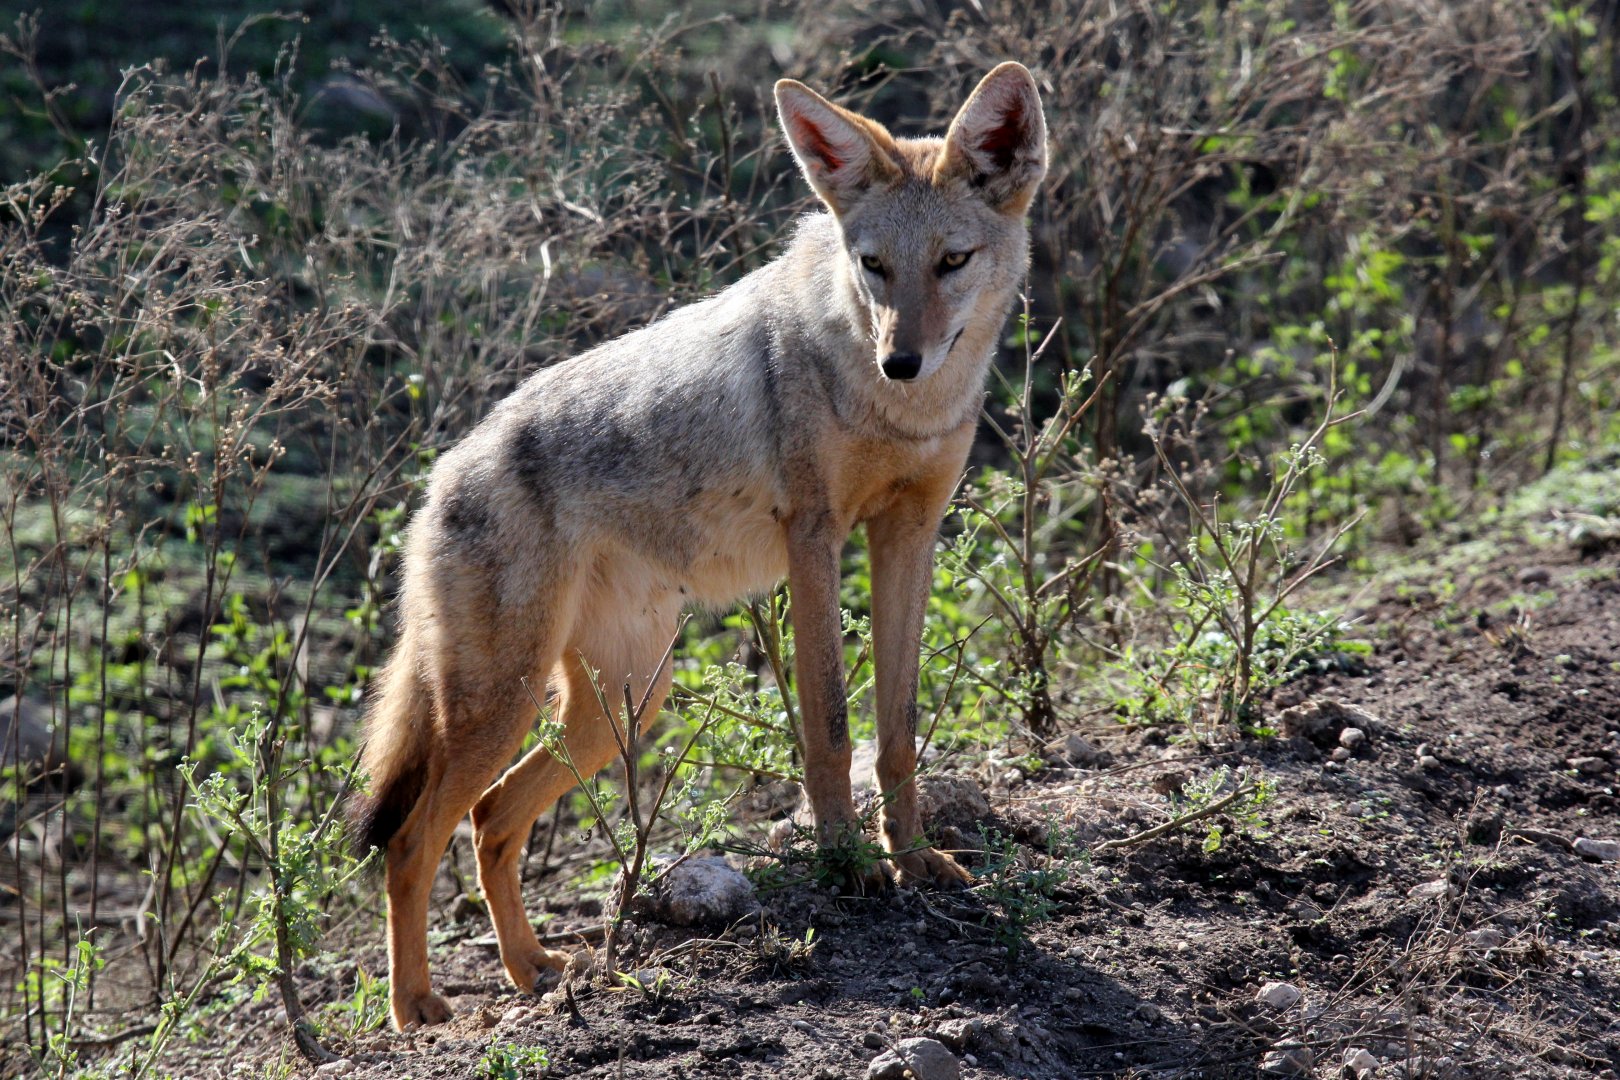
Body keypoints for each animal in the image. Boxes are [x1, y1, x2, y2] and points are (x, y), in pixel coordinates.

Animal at [349, 62, 1048, 1030]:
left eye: (953, 261)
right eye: (873, 266)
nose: (900, 360)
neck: (899, 407)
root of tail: (435, 482)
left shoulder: (909, 533)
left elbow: (898, 732)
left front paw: (913, 862)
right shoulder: (816, 542)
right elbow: (830, 730)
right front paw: (850, 870)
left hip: (622, 708)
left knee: (491, 819)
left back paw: (533, 970)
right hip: (509, 701)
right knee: (413, 840)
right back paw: (416, 1007)